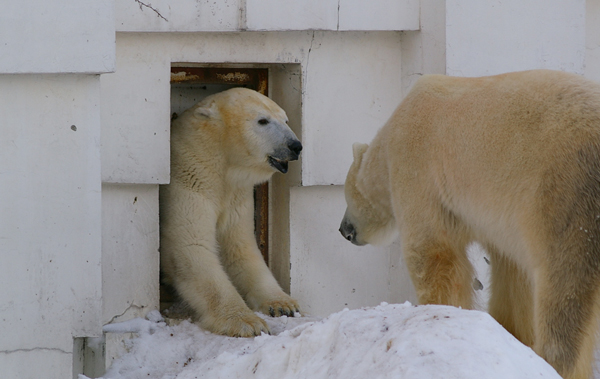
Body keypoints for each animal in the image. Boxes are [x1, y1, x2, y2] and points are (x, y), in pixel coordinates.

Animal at [161, 87, 302, 336]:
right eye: (263, 120)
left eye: (285, 120)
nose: (295, 146)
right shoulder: (188, 182)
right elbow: (192, 246)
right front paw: (248, 322)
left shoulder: (237, 196)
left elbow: (240, 248)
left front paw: (283, 304)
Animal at [340, 69, 600, 379]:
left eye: (345, 196)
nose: (343, 229)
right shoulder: (503, 220)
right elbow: (512, 275)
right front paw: (510, 332)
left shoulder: (417, 166)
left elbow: (432, 253)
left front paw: (442, 313)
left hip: (566, 197)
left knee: (564, 295)